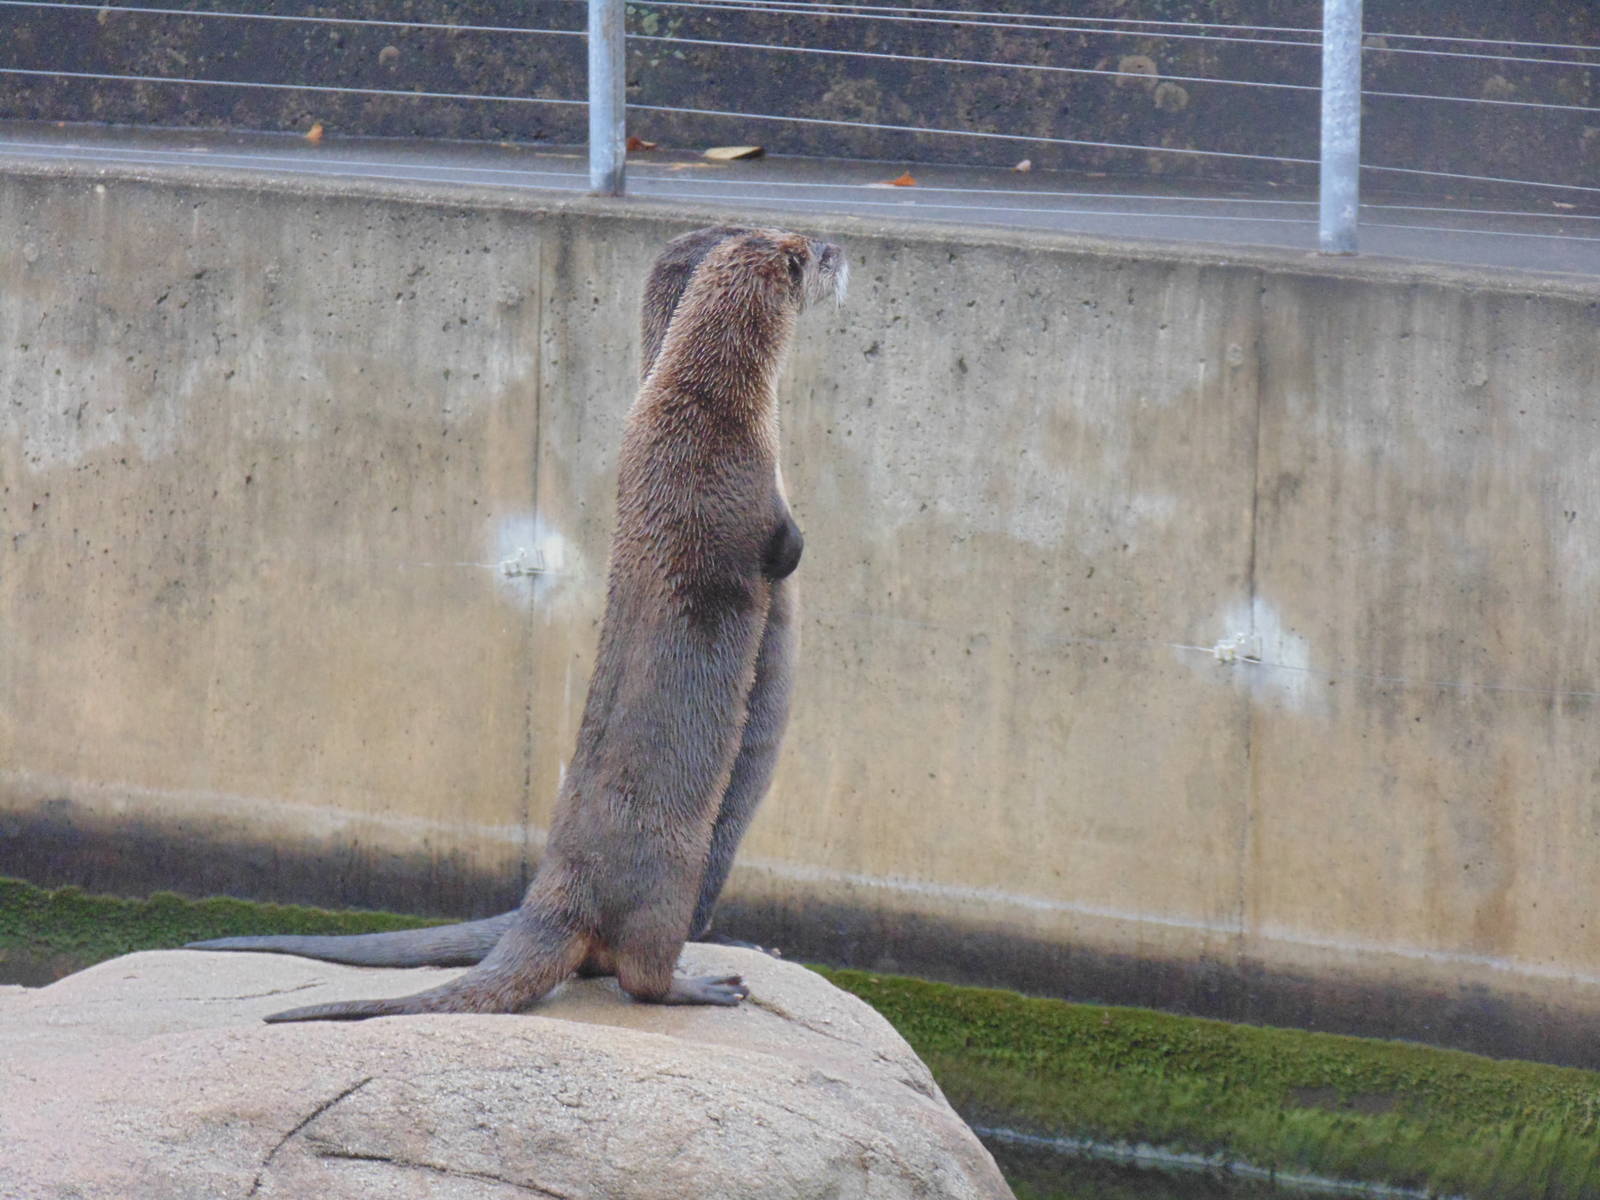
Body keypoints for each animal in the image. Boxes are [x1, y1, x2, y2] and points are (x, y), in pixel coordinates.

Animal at [209, 227, 843, 1020]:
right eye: (810, 254)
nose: (840, 245)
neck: (703, 406)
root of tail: (554, 894)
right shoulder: (755, 494)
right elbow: (785, 550)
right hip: (676, 868)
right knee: (639, 972)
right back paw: (709, 983)